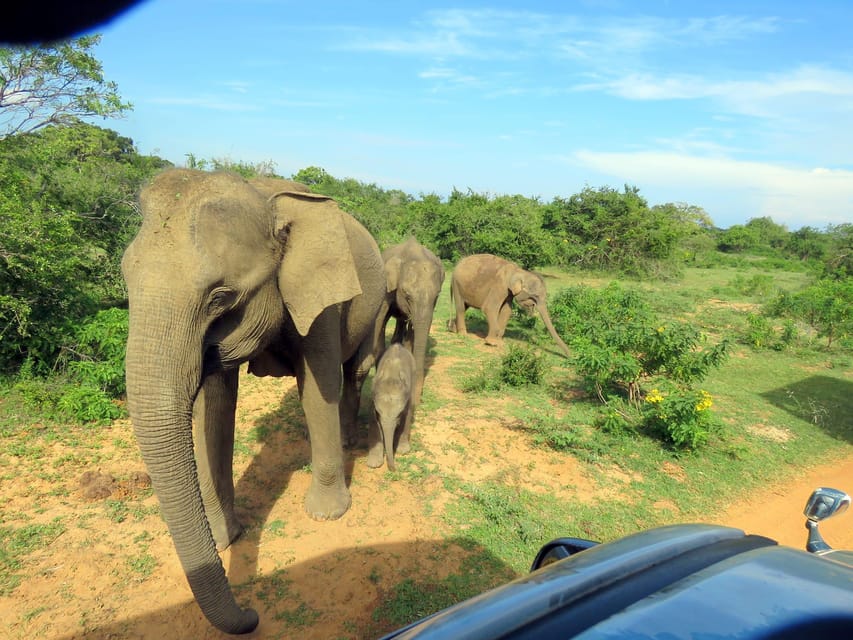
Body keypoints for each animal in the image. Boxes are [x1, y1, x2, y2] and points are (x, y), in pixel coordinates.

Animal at [121, 168, 384, 632]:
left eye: (220, 297)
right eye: (125, 280)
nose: (251, 615)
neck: (263, 200)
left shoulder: (317, 295)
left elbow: (318, 386)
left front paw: (327, 516)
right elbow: (215, 408)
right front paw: (225, 536)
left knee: (353, 371)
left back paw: (348, 442)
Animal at [376, 238, 450, 402]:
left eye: (437, 296)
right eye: (407, 295)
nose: (419, 401)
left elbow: (414, 333)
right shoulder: (386, 289)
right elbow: (380, 320)